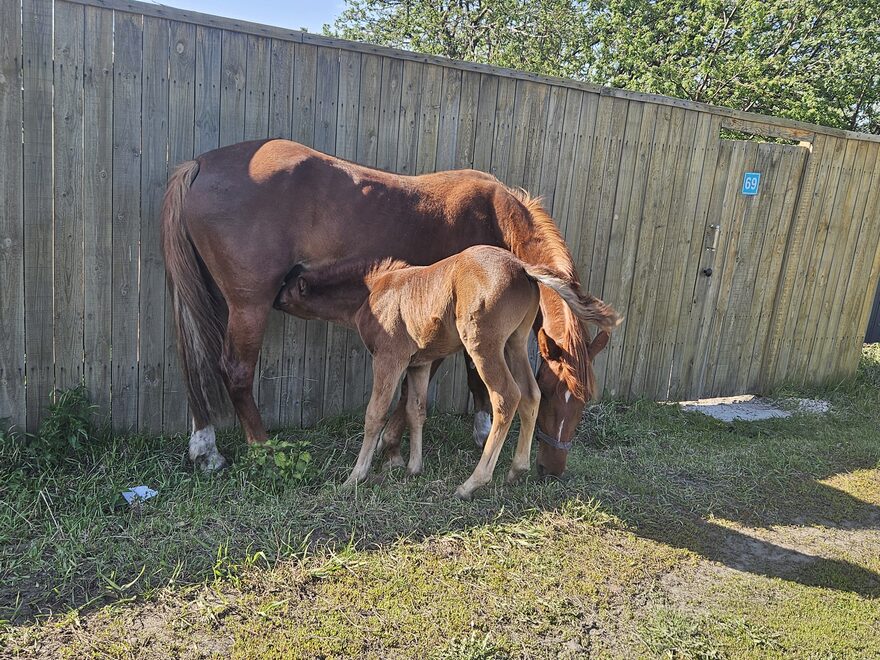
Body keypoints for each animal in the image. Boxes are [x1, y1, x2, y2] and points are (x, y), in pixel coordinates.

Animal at [160, 139, 612, 476]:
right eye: (551, 393)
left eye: (584, 401)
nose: (553, 467)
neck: (494, 217)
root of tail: (199, 164)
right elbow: (422, 390)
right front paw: (394, 446)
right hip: (248, 306)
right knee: (235, 371)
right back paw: (263, 446)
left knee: (199, 362)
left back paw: (206, 449)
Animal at [276, 245, 620, 498]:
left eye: (287, 289)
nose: (274, 300)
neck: (373, 290)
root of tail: (523, 267)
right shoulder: (419, 363)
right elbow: (416, 410)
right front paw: (413, 467)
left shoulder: (389, 359)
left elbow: (375, 413)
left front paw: (355, 476)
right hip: (516, 342)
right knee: (531, 394)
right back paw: (516, 470)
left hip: (483, 345)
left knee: (506, 397)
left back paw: (472, 483)